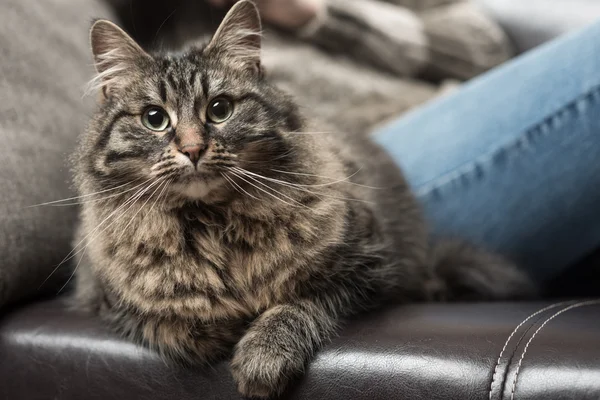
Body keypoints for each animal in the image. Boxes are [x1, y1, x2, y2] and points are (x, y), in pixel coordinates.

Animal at [71, 2, 536, 396]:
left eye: (220, 109)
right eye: (155, 119)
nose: (192, 148)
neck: (213, 225)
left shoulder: (369, 269)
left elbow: (294, 305)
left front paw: (261, 356)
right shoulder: (107, 299)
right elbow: (177, 325)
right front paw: (224, 330)